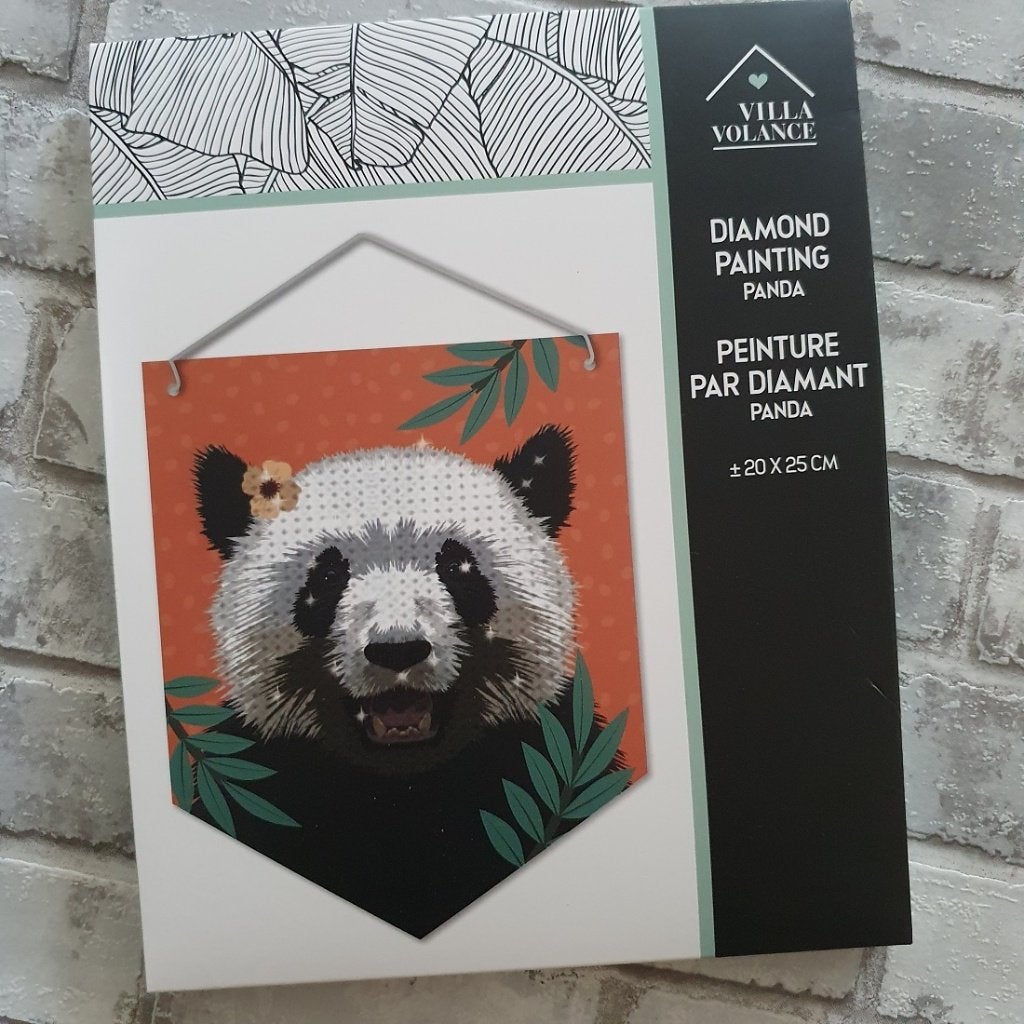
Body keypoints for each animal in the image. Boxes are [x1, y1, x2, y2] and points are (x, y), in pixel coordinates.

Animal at [190, 425, 627, 937]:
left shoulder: (533, 752)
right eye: (327, 576)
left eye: (457, 567)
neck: (403, 786)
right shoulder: (266, 775)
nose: (396, 649)